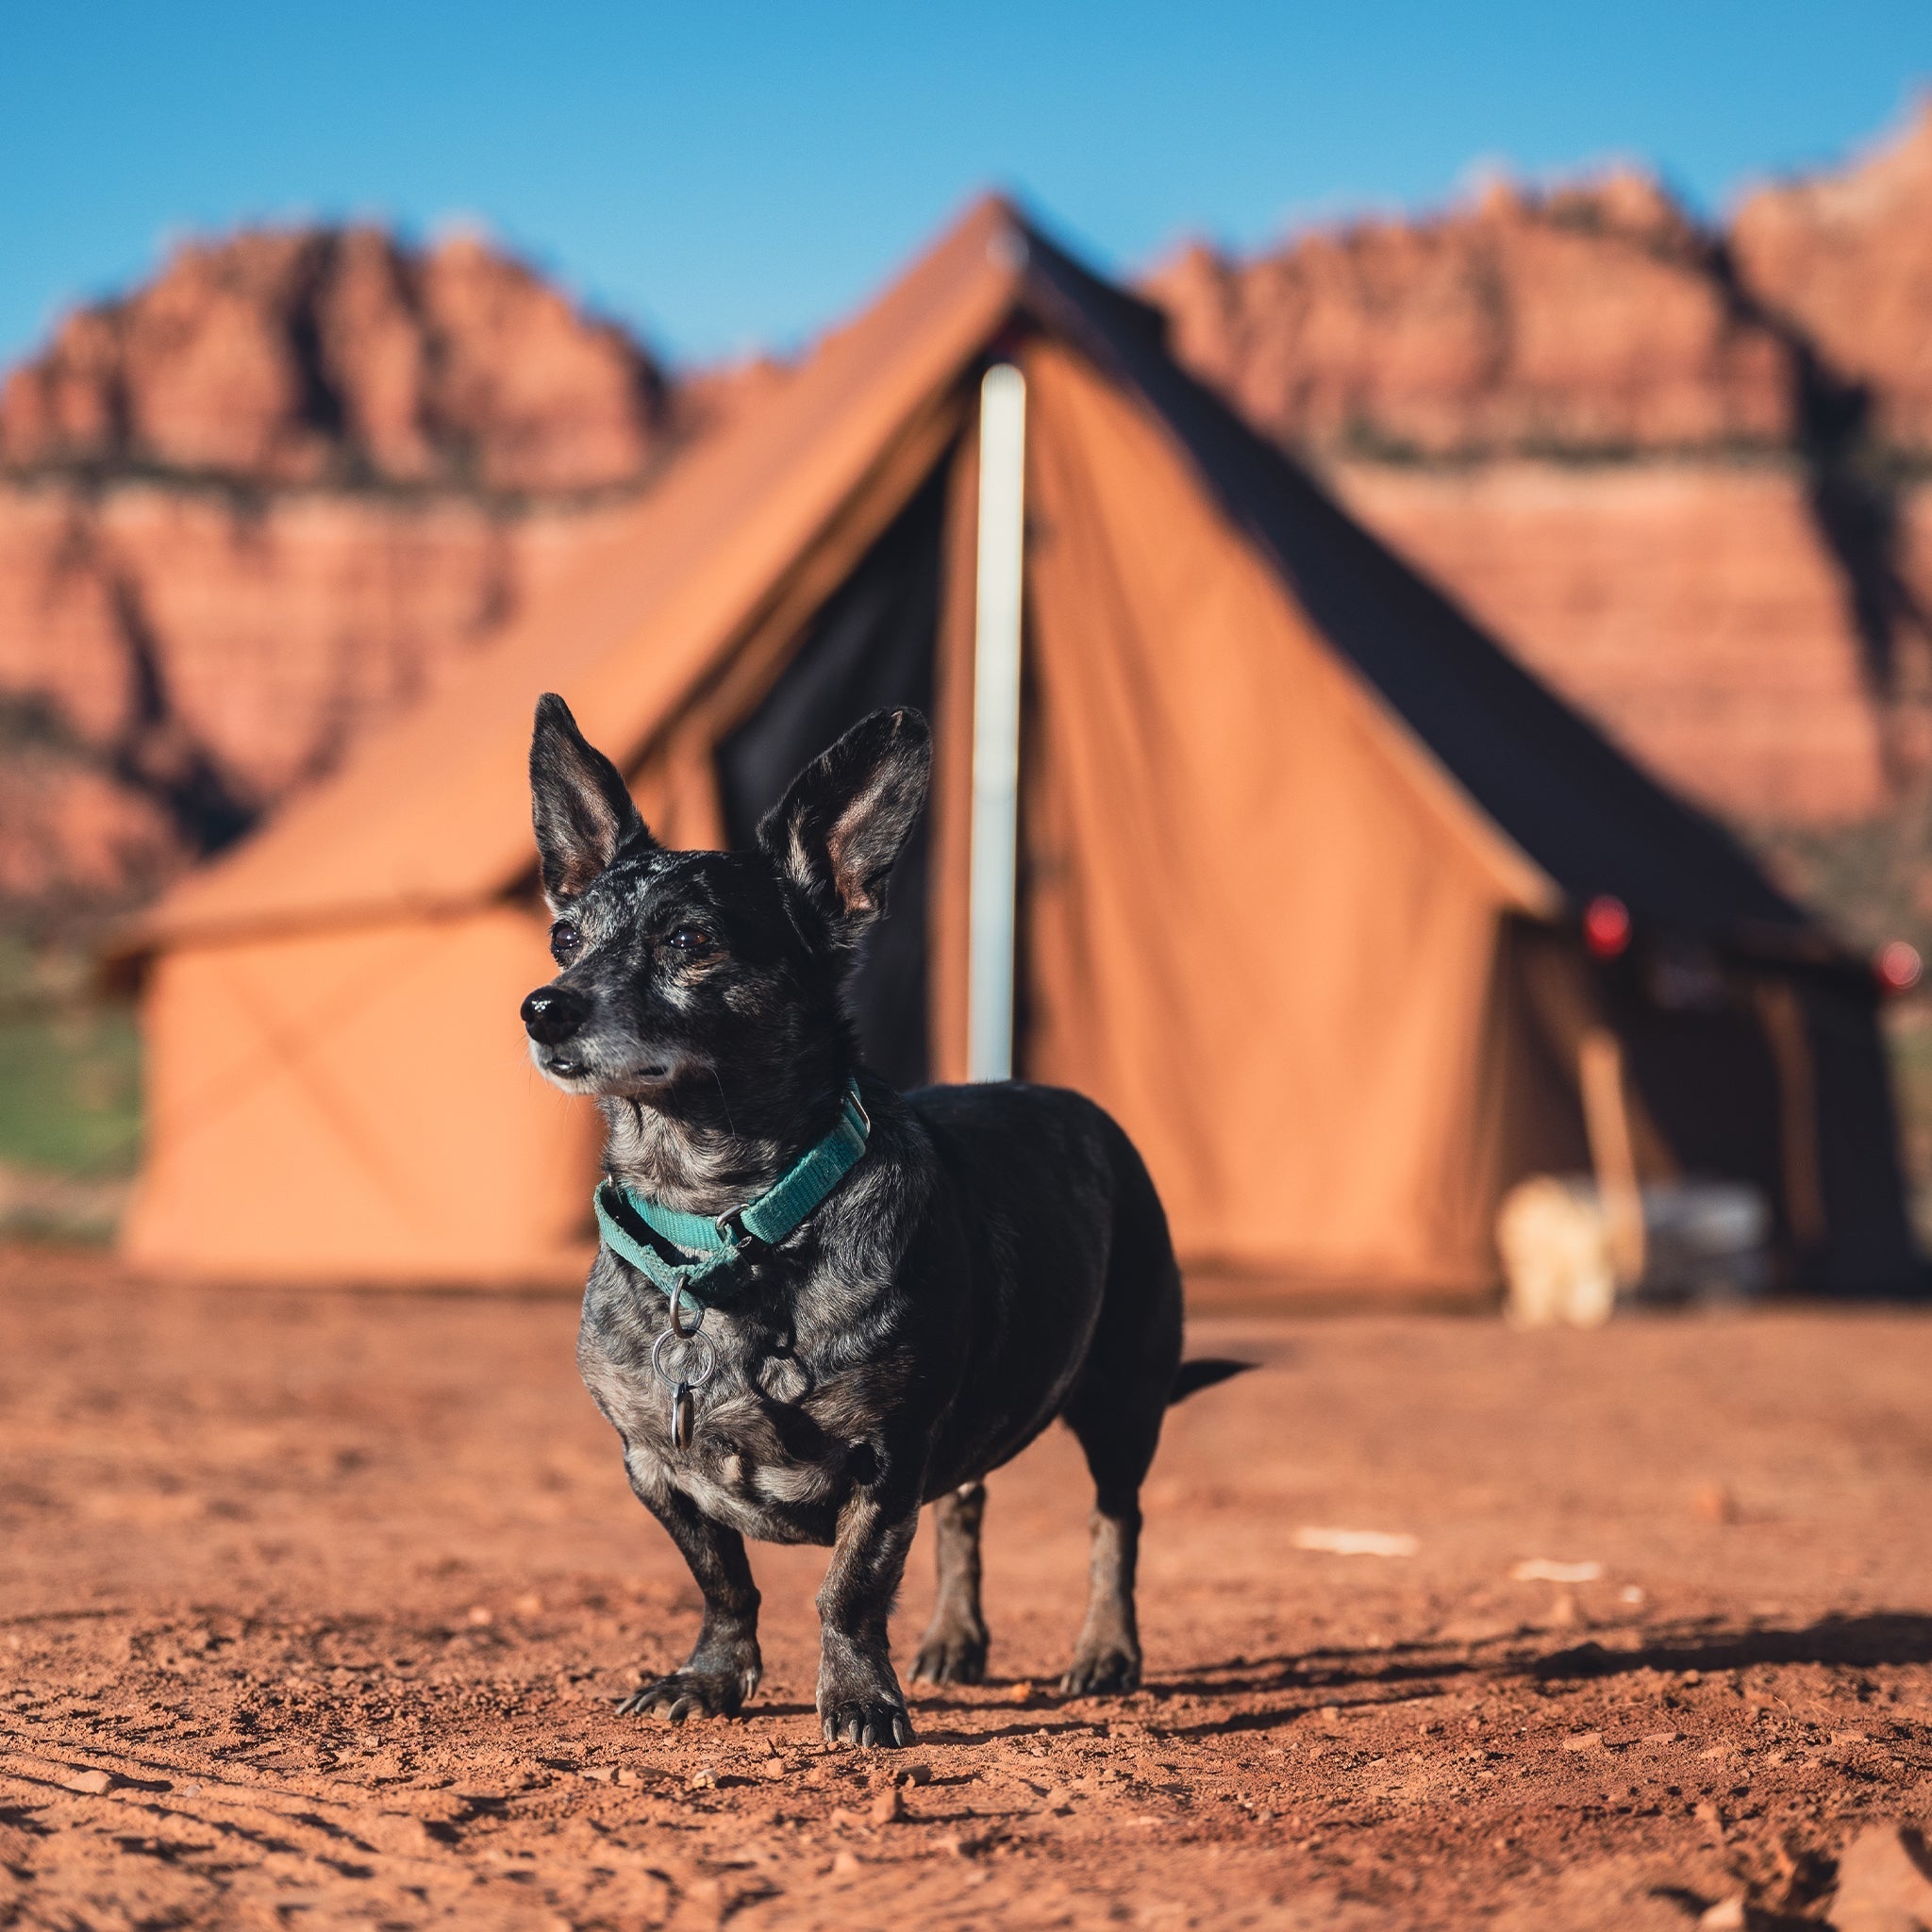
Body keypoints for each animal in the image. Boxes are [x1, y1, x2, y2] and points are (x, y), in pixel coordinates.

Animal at [521, 695, 1243, 1754]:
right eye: (564, 937)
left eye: (690, 941)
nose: (542, 1008)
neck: (721, 1229)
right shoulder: (655, 1467)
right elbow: (724, 1582)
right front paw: (712, 1676)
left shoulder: (887, 1456)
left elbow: (849, 1588)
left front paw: (860, 1698)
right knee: (965, 1507)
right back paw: (953, 1638)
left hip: (1122, 1399)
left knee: (1115, 1524)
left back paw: (1105, 1653)